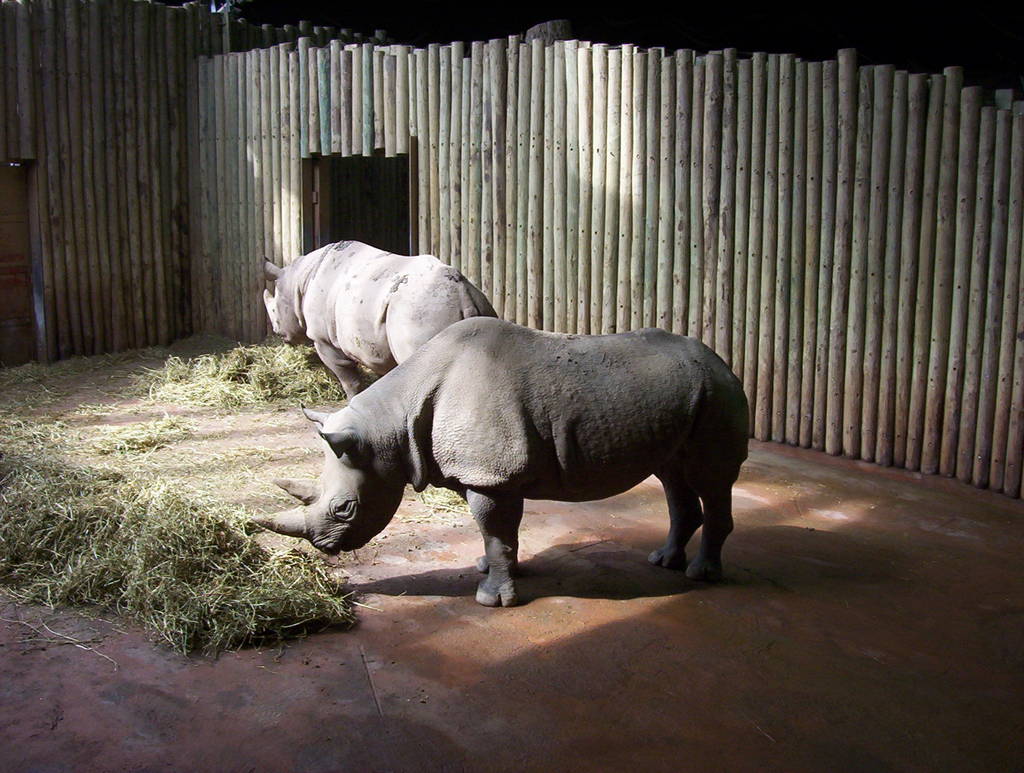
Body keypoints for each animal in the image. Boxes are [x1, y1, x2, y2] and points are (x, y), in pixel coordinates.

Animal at [257, 317, 749, 607]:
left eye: (345, 509)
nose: (324, 546)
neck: (389, 425)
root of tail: (722, 362)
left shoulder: (490, 475)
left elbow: (496, 533)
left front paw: (492, 600)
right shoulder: (486, 474)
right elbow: (500, 535)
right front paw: (494, 569)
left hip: (717, 393)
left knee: (709, 478)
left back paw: (701, 575)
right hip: (689, 395)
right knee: (673, 476)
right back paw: (663, 561)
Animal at [262, 240, 496, 398]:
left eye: (275, 309)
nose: (278, 333)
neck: (298, 281)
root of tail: (462, 292)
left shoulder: (324, 340)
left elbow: (351, 383)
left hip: (422, 315)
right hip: (469, 305)